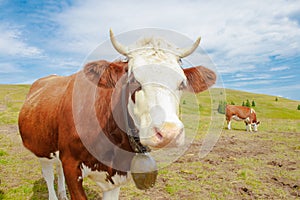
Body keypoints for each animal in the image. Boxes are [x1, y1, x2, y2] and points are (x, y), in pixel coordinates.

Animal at [18, 30, 216, 200]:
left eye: (182, 83)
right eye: (134, 79)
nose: (169, 134)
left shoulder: (117, 176)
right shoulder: (71, 165)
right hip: (41, 148)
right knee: (48, 175)